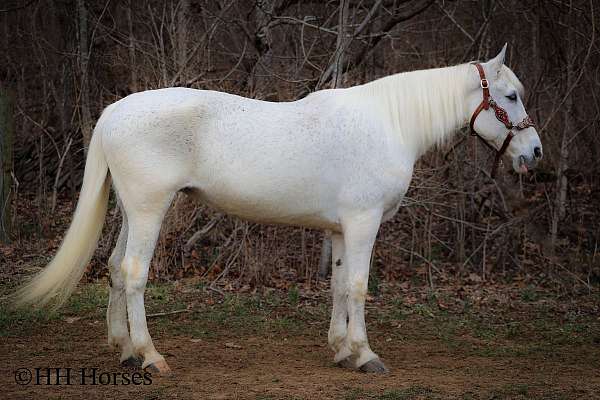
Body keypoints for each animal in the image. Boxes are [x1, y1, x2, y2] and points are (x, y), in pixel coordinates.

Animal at [14, 45, 540, 374]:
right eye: (511, 96)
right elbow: (359, 287)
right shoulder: (364, 223)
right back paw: (149, 356)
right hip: (149, 210)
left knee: (114, 269)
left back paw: (124, 350)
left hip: (131, 210)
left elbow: (338, 286)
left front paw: (342, 351)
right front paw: (366, 354)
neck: (387, 124)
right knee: (135, 272)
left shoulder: (341, 229)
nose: (533, 153)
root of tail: (113, 112)